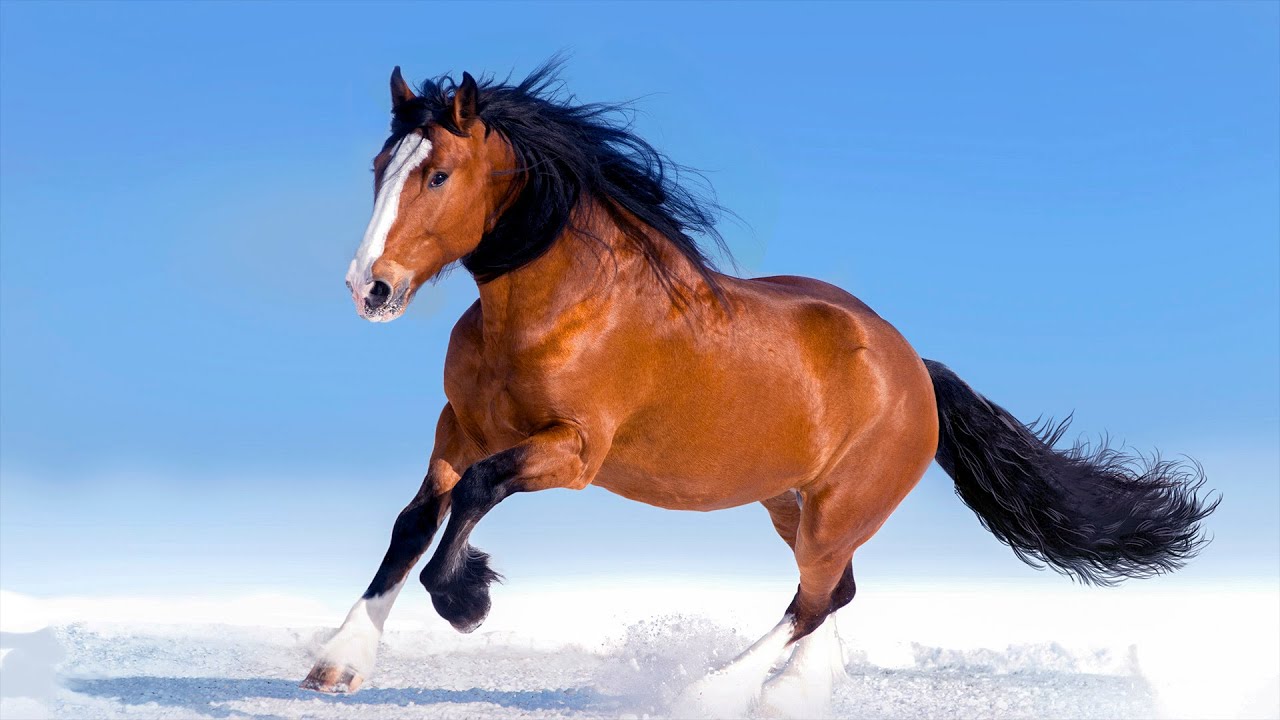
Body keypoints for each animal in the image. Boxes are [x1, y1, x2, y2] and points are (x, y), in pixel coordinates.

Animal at [301, 61, 1219, 717]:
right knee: (835, 592)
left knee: (812, 598)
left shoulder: (574, 450)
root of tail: (914, 368)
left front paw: (467, 599)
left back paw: (711, 693)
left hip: (838, 508)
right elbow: (414, 522)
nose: (369, 287)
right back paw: (790, 694)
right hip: (789, 501)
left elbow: (475, 498)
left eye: (439, 176)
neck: (559, 308)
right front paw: (338, 662)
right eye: (382, 165)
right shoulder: (458, 427)